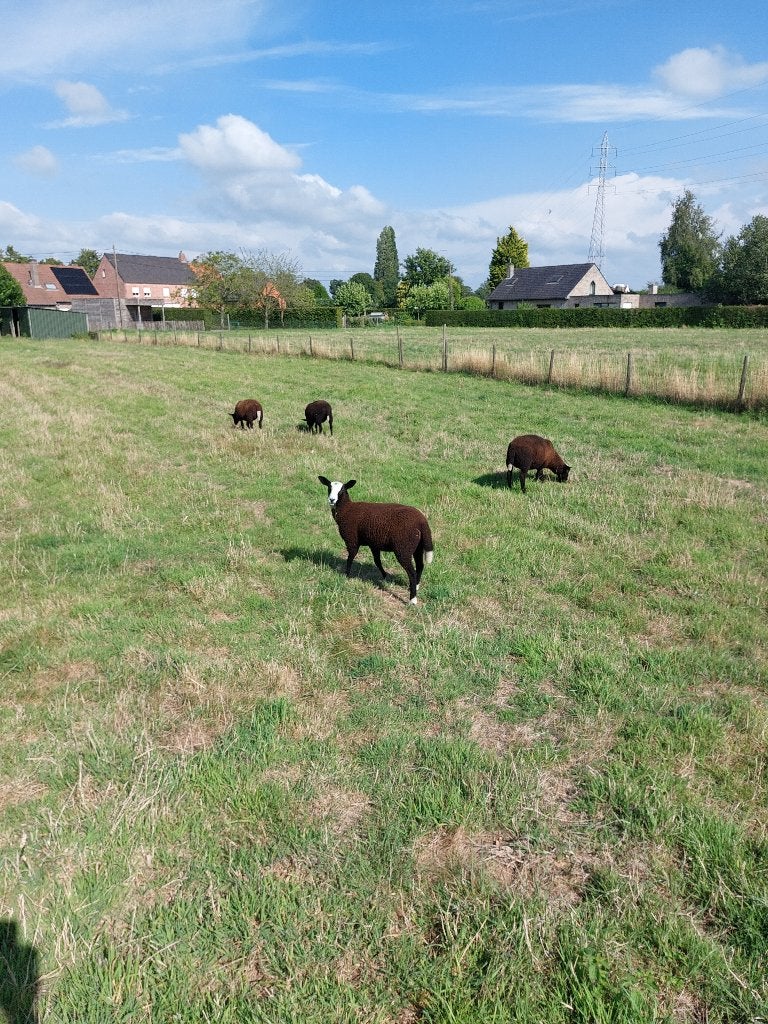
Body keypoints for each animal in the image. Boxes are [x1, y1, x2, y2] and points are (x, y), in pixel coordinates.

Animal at [318, 476, 434, 604]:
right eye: (329, 487)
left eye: (342, 490)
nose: (332, 500)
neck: (347, 509)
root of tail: (422, 521)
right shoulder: (374, 543)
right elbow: (377, 561)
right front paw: (384, 576)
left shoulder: (352, 539)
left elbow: (350, 558)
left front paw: (346, 575)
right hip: (417, 546)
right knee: (420, 565)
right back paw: (416, 586)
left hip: (403, 548)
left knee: (412, 572)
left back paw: (412, 599)